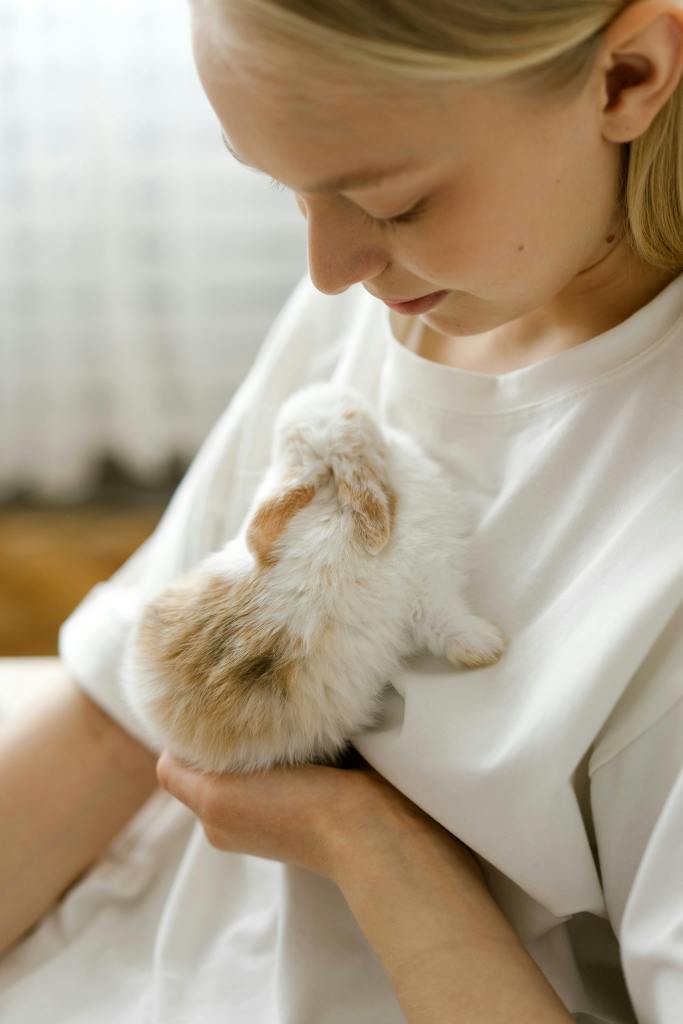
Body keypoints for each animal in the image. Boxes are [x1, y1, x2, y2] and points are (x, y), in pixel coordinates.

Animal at [121, 382, 506, 775]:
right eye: (354, 418)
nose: (344, 390)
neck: (332, 498)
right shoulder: (429, 582)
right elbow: (447, 622)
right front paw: (489, 647)